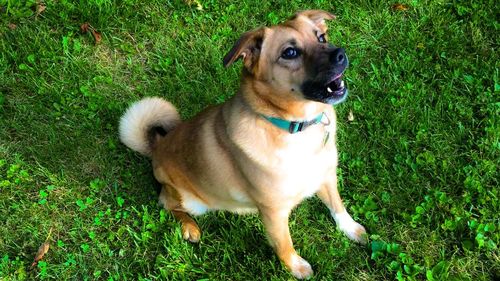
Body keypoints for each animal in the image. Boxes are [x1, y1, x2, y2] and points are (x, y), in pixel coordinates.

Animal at [118, 10, 366, 278]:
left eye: (321, 37)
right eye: (290, 52)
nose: (340, 54)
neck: (295, 127)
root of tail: (157, 145)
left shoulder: (326, 176)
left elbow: (338, 207)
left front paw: (351, 229)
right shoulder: (273, 212)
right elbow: (284, 244)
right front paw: (297, 267)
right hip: (190, 201)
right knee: (166, 203)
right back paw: (189, 228)